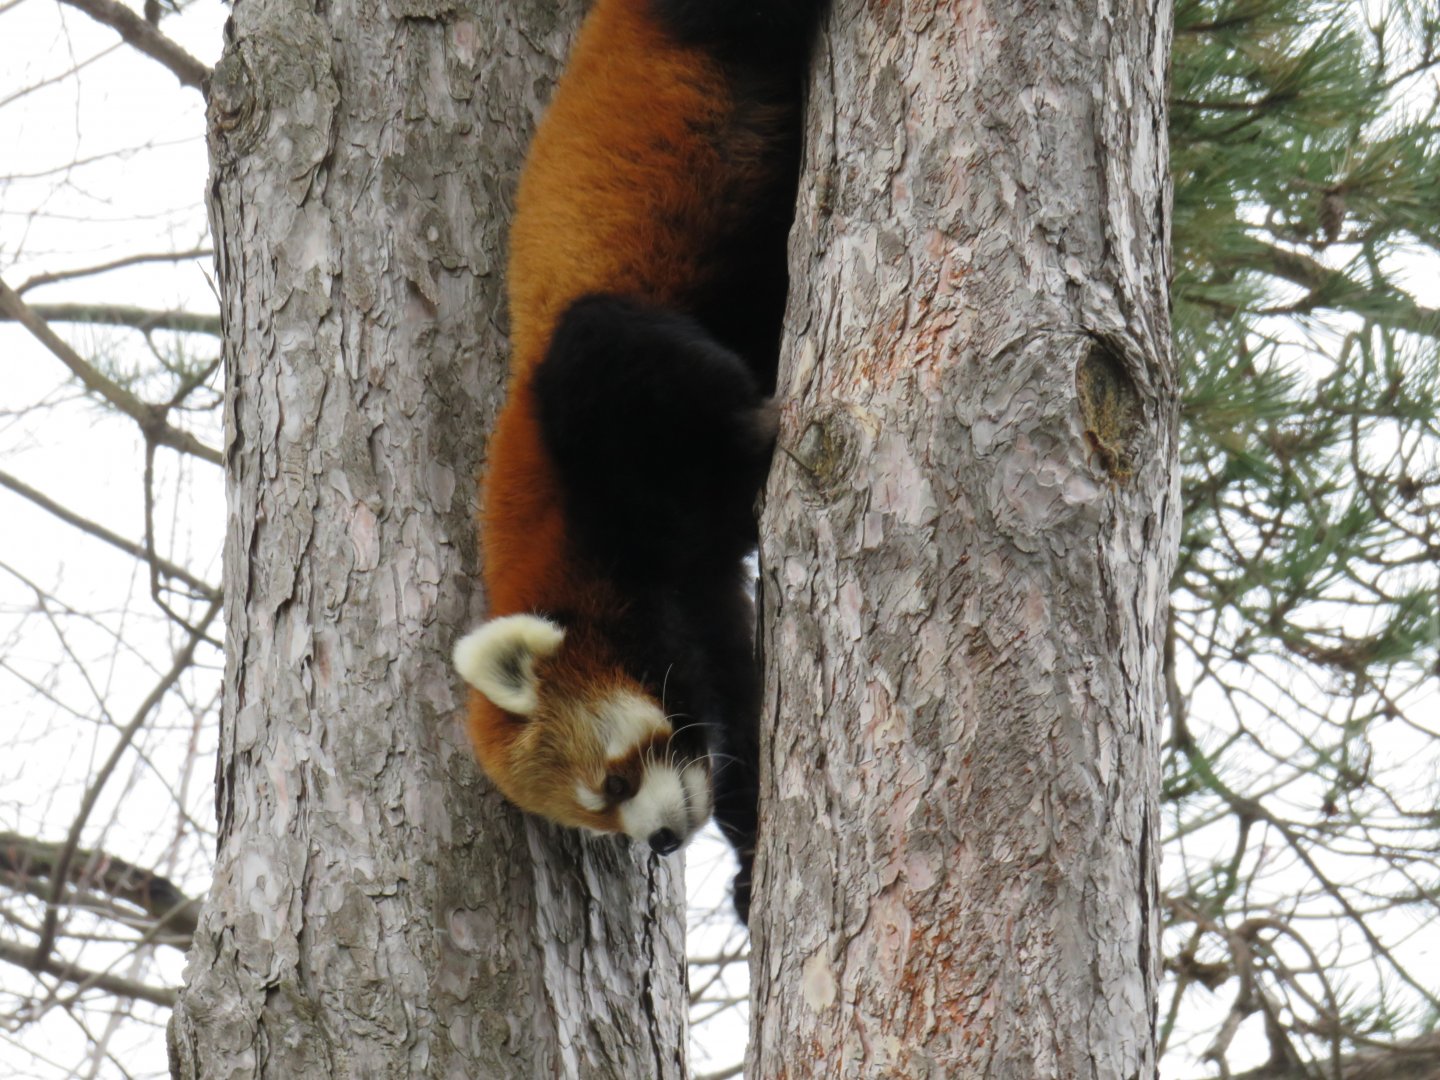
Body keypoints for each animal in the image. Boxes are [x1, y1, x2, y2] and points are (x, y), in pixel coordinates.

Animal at [452, 0, 824, 923]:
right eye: (602, 817)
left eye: (614, 783)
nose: (658, 842)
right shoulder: (690, 594)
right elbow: (736, 696)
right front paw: (753, 861)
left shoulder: (591, 410)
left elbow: (645, 361)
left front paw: (759, 425)